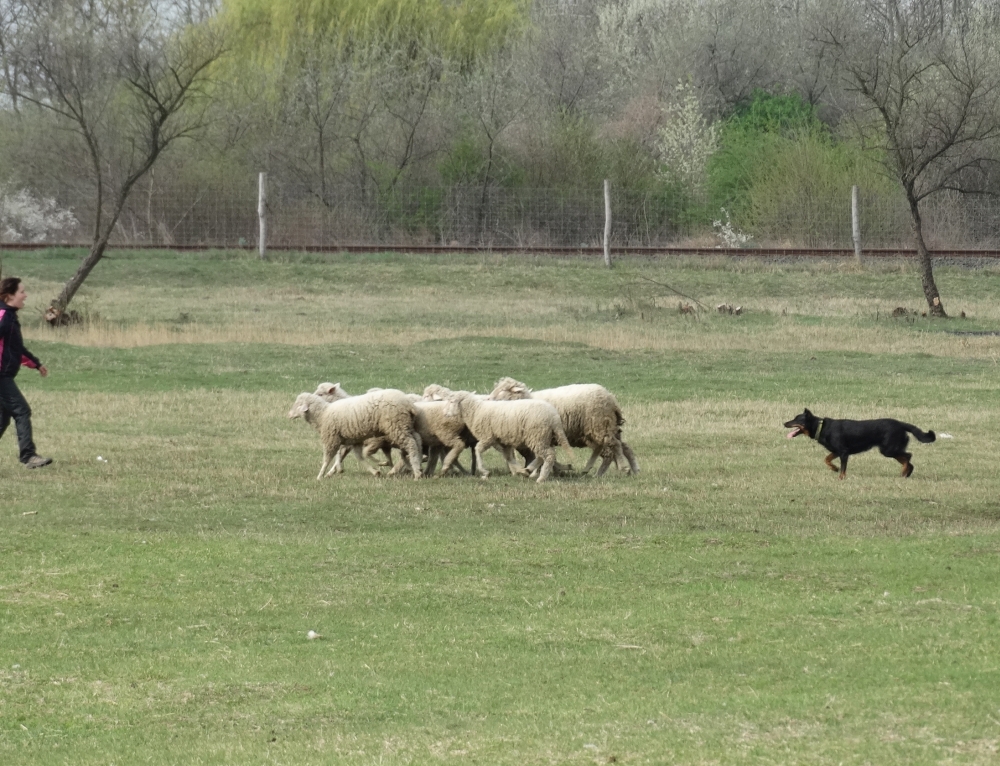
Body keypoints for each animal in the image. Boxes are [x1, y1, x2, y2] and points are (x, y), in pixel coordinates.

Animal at [290, 390, 422, 480]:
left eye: (298, 404)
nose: (289, 414)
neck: (323, 414)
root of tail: (408, 404)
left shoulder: (332, 439)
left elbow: (327, 459)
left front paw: (320, 475)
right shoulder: (353, 440)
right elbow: (359, 457)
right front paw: (375, 471)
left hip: (396, 426)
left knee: (411, 444)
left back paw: (416, 471)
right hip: (406, 426)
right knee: (418, 441)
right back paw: (418, 465)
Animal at [444, 392, 576, 484]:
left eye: (452, 401)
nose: (446, 414)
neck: (475, 410)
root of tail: (554, 417)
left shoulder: (488, 437)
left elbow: (478, 450)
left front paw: (484, 471)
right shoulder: (503, 442)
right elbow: (508, 457)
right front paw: (517, 470)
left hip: (537, 435)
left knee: (549, 455)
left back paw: (541, 478)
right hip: (542, 437)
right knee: (542, 456)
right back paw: (527, 470)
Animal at [486, 376, 640, 476]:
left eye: (502, 392)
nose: (487, 400)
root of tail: (611, 398)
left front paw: (535, 472)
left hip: (600, 425)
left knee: (612, 448)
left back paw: (613, 470)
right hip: (604, 428)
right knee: (623, 447)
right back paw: (633, 469)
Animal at [784, 408, 932, 480]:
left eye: (797, 419)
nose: (784, 423)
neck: (821, 427)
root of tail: (901, 424)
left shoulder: (844, 453)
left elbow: (843, 469)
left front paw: (840, 478)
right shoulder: (837, 452)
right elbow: (827, 459)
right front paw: (834, 468)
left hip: (888, 450)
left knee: (908, 456)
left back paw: (904, 471)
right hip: (890, 450)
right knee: (908, 460)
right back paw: (906, 473)